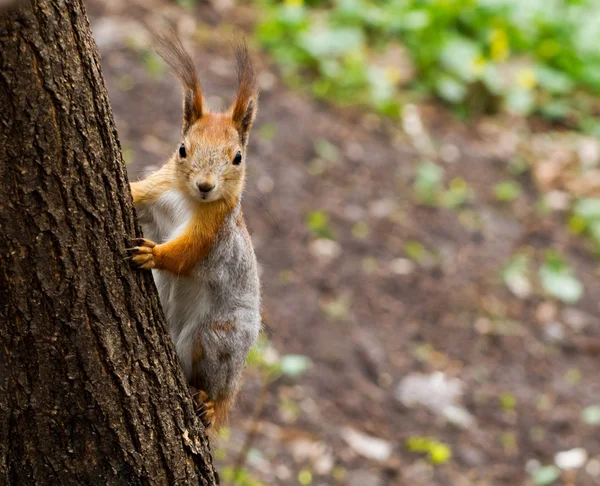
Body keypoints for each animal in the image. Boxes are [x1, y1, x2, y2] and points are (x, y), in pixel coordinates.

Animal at [127, 32, 262, 430]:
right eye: (182, 149)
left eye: (237, 157)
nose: (205, 186)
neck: (186, 199)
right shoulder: (155, 192)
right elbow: (135, 195)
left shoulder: (213, 231)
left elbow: (185, 253)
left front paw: (152, 254)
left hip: (218, 338)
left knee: (213, 384)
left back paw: (209, 403)